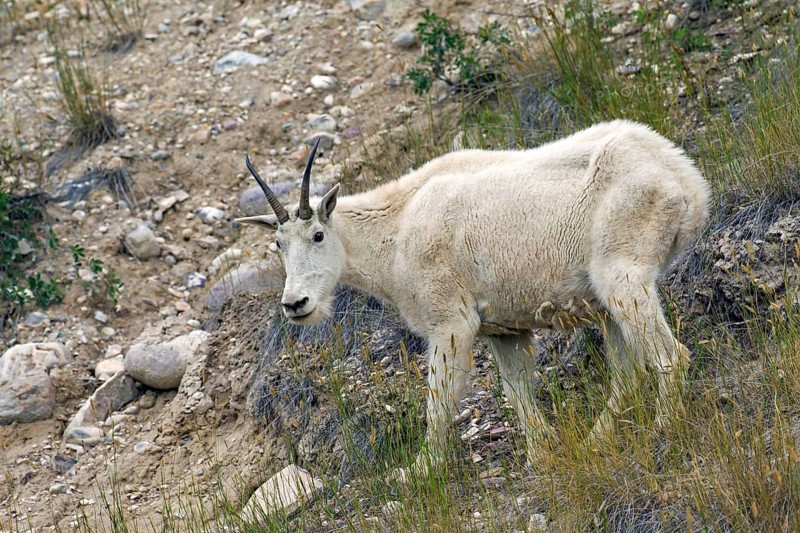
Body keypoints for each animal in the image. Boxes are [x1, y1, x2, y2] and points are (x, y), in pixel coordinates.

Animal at [237, 120, 711, 475]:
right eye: (278, 244)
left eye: (318, 234)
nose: (295, 304)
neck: (397, 229)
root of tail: (685, 180)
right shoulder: (504, 329)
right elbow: (517, 393)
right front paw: (542, 453)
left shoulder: (450, 324)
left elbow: (439, 405)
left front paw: (419, 473)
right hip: (606, 302)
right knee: (626, 374)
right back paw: (597, 439)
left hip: (624, 277)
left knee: (670, 357)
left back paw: (663, 429)